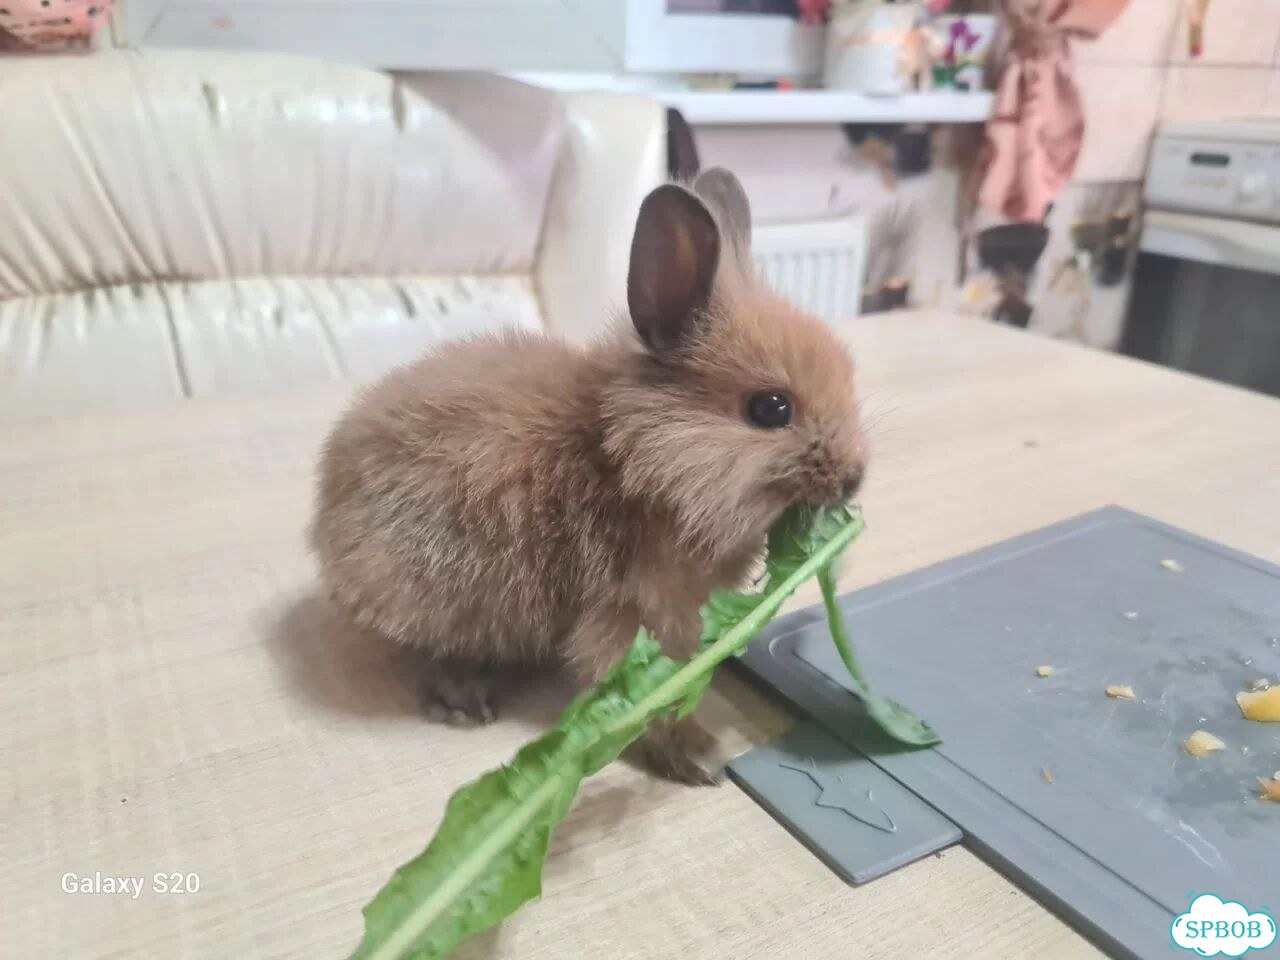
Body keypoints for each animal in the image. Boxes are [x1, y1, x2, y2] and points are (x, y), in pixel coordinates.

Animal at [309, 168, 867, 785]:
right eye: (770, 409)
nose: (854, 478)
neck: (633, 463)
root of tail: (326, 514)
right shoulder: (628, 615)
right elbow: (636, 694)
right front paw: (702, 756)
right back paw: (463, 700)